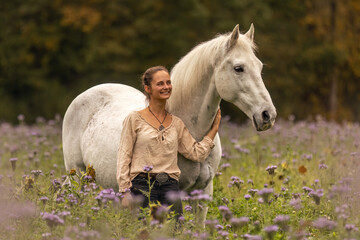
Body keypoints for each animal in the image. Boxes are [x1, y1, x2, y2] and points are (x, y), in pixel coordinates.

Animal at [62, 24, 276, 219]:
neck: (193, 133)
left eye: (260, 66)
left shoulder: (203, 193)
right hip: (79, 177)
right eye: (238, 68)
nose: (268, 115)